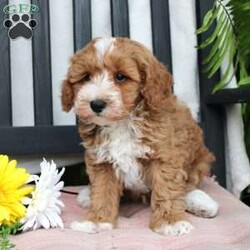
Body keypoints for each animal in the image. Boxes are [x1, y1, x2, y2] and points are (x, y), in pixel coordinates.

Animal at [61, 37, 219, 236]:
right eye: (86, 77)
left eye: (121, 77)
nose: (96, 104)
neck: (122, 122)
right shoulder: (102, 161)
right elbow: (102, 191)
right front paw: (97, 221)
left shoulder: (163, 156)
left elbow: (167, 189)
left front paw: (170, 222)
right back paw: (86, 195)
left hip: (199, 160)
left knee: (189, 185)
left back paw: (200, 203)